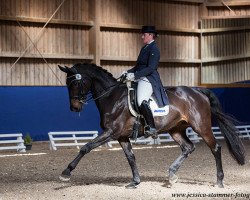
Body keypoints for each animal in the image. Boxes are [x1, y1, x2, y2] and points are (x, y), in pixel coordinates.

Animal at [57, 63, 245, 188]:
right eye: (67, 84)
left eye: (75, 83)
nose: (74, 108)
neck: (112, 97)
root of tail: (198, 90)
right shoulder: (121, 136)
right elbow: (131, 157)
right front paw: (135, 181)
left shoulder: (110, 132)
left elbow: (86, 147)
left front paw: (66, 173)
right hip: (175, 129)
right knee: (188, 147)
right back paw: (172, 174)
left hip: (202, 126)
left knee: (215, 148)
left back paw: (219, 181)